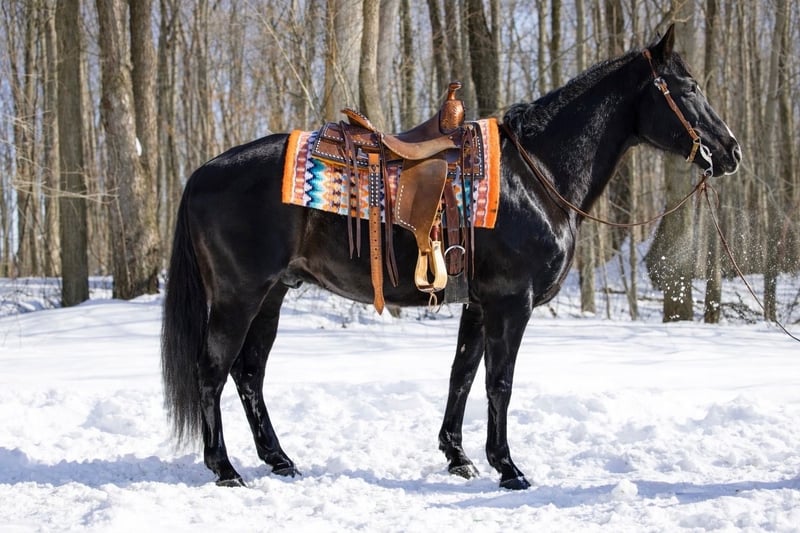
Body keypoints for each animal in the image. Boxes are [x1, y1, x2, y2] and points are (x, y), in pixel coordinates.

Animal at [161, 25, 741, 490]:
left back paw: (279, 460)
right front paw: (508, 468)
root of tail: (201, 173)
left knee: (249, 375)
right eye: (689, 88)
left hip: (273, 295)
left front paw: (458, 457)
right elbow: (499, 383)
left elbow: (461, 375)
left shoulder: (479, 304)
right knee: (213, 372)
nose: (732, 151)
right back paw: (225, 469)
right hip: (239, 296)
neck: (536, 174)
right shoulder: (511, 302)